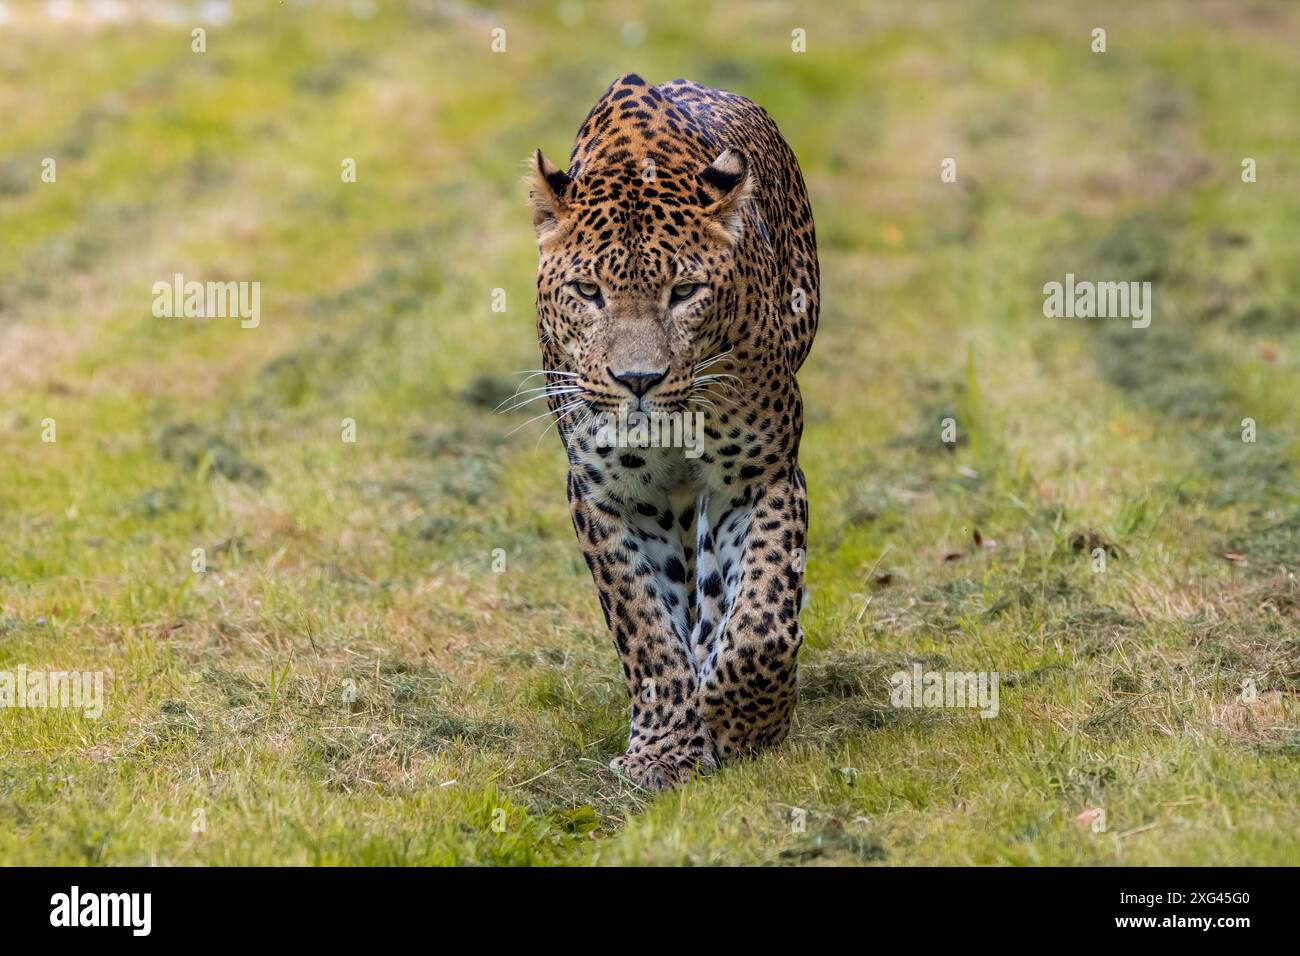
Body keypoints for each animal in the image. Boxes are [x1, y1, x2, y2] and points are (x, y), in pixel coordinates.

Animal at [525, 72, 811, 790]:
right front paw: (664, 749)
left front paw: (743, 722)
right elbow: (645, 629)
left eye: (684, 292)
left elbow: (762, 612)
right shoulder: (606, 492)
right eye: (588, 292)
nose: (638, 380)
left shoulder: (761, 473)